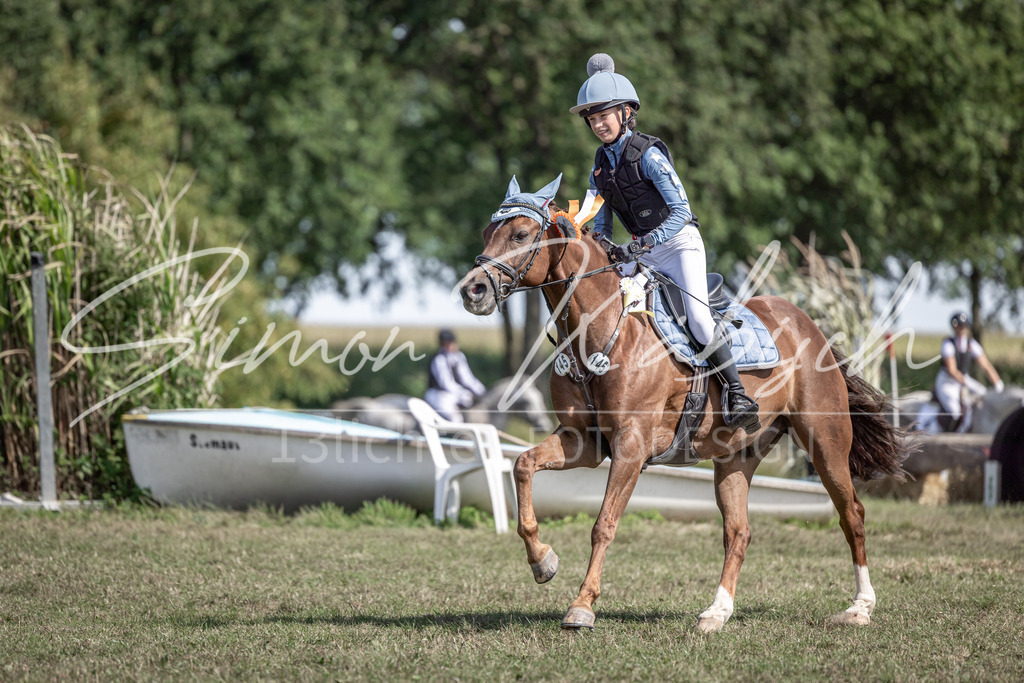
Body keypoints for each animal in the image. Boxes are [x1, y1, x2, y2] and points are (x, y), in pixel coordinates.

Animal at [457, 175, 909, 633]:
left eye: (520, 234)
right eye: (487, 232)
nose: (472, 291)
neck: (600, 331)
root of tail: (811, 328)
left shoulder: (631, 447)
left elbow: (604, 524)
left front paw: (582, 605)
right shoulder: (583, 441)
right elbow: (523, 465)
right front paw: (543, 561)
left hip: (825, 442)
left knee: (852, 513)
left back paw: (860, 607)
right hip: (737, 456)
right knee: (738, 532)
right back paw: (716, 612)